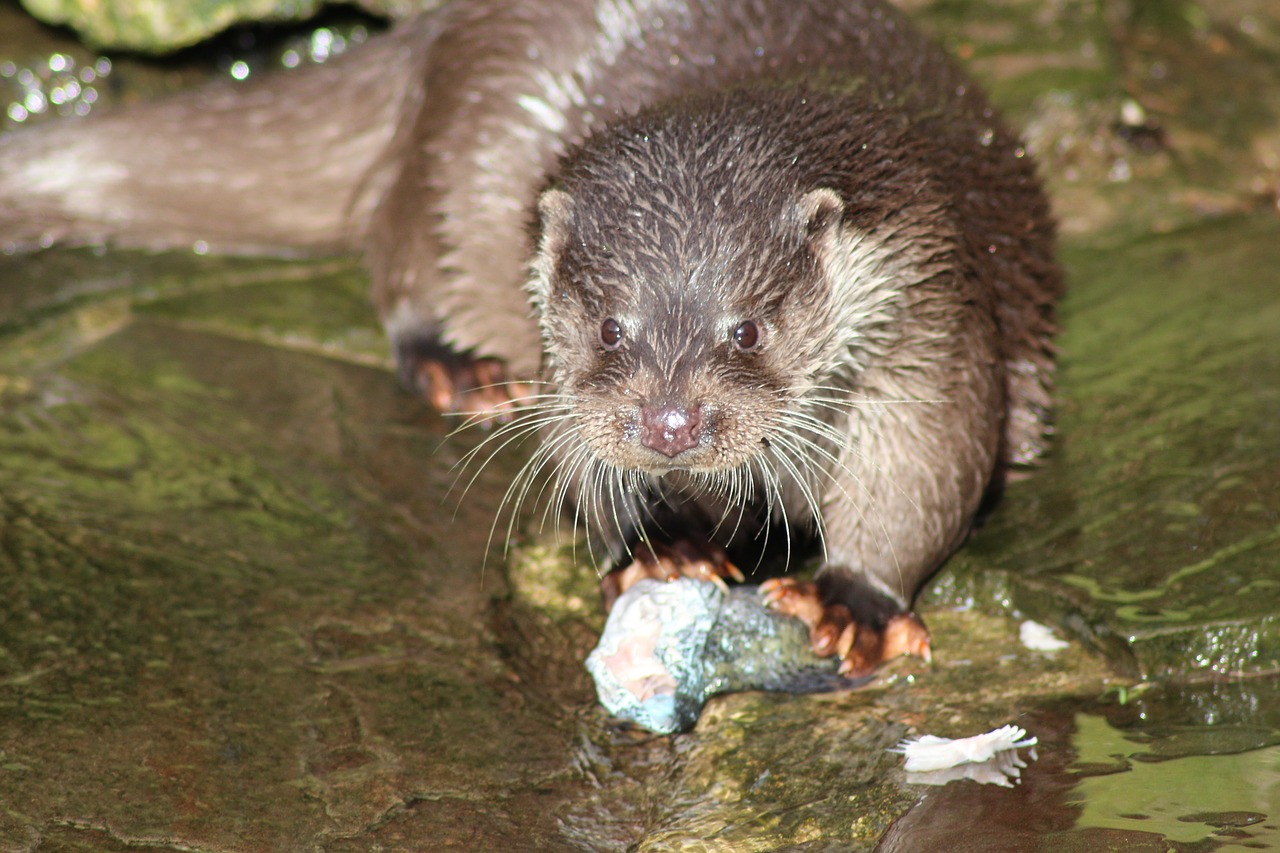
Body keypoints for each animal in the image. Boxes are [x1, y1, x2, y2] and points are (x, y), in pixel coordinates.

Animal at [0, 1, 1059, 676]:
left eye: (748, 328)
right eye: (610, 324)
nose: (669, 425)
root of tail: (435, 27)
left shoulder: (932, 314)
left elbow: (928, 465)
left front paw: (855, 601)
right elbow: (574, 450)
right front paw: (661, 541)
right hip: (460, 144)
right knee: (399, 248)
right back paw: (460, 367)